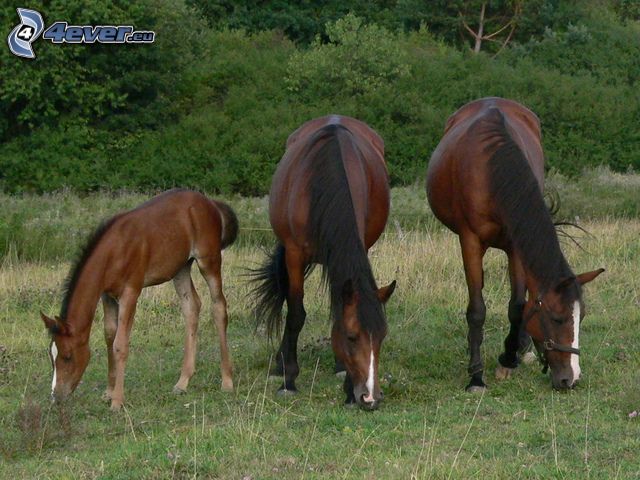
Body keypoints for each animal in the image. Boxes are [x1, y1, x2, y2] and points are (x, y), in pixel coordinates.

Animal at [42, 189, 238, 410]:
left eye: (67, 356)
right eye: (51, 355)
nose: (56, 397)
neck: (115, 250)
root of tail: (211, 202)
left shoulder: (130, 292)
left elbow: (120, 343)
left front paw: (117, 401)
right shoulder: (107, 295)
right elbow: (109, 336)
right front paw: (108, 392)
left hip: (209, 260)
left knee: (219, 307)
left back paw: (227, 381)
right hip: (180, 268)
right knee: (191, 307)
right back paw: (182, 382)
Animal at [251, 114, 396, 410]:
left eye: (382, 337)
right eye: (352, 337)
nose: (370, 397)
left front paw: (347, 388)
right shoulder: (294, 255)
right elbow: (295, 313)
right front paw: (289, 379)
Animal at [428, 97, 604, 390]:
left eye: (582, 317)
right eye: (557, 318)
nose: (571, 378)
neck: (490, 172)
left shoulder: (516, 246)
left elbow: (519, 307)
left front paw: (509, 357)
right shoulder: (470, 242)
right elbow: (477, 310)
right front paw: (476, 376)